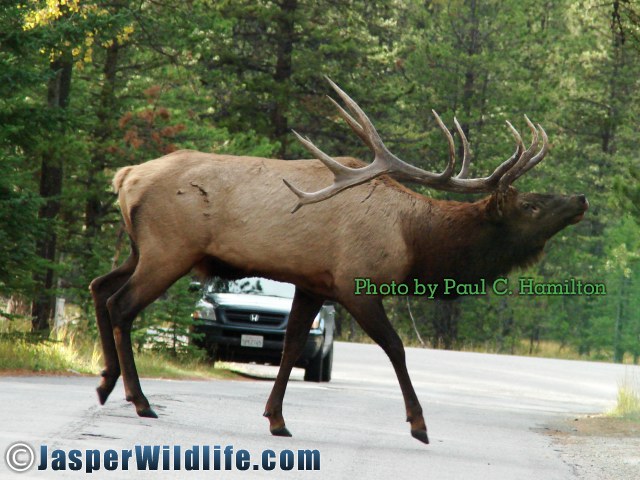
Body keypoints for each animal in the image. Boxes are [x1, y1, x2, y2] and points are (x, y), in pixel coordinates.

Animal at [89, 78, 584, 442]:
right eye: (530, 206)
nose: (579, 199)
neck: (415, 242)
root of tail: (124, 176)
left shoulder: (312, 283)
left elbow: (291, 346)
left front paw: (276, 419)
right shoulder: (355, 283)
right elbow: (396, 347)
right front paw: (419, 424)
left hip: (140, 248)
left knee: (99, 286)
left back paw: (106, 382)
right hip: (168, 249)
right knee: (122, 305)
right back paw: (139, 400)